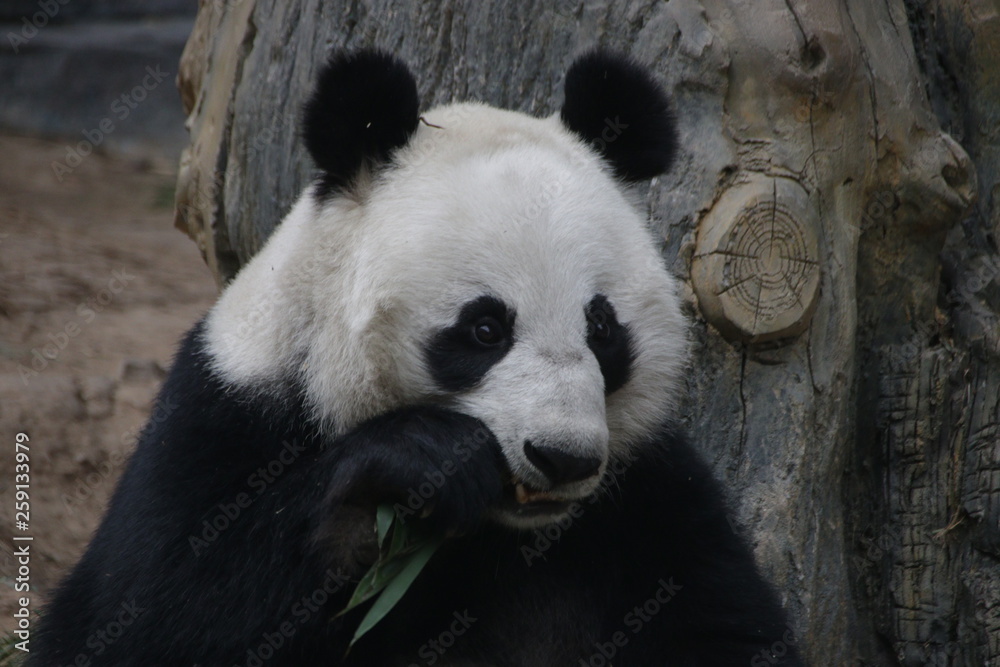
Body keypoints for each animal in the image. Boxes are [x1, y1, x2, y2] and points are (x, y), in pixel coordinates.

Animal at [30, 50, 802, 666]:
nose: (563, 458)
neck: (508, 533)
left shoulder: (649, 495)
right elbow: (143, 615)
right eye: (485, 328)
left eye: (603, 328)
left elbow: (727, 628)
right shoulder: (226, 413)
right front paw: (421, 467)